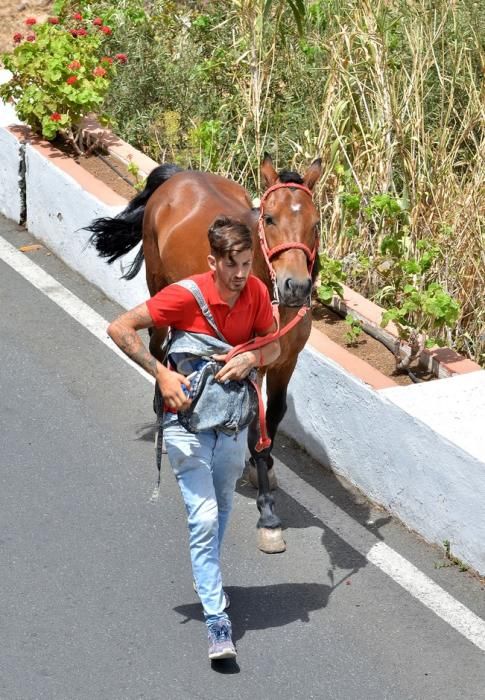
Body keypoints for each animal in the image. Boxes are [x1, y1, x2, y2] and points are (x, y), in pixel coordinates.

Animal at [87, 156, 322, 556]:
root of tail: (180, 176)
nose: (296, 287)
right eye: (269, 218)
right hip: (160, 285)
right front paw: (268, 516)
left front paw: (263, 466)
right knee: (157, 347)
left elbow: (273, 415)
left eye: (316, 222)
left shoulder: (284, 362)